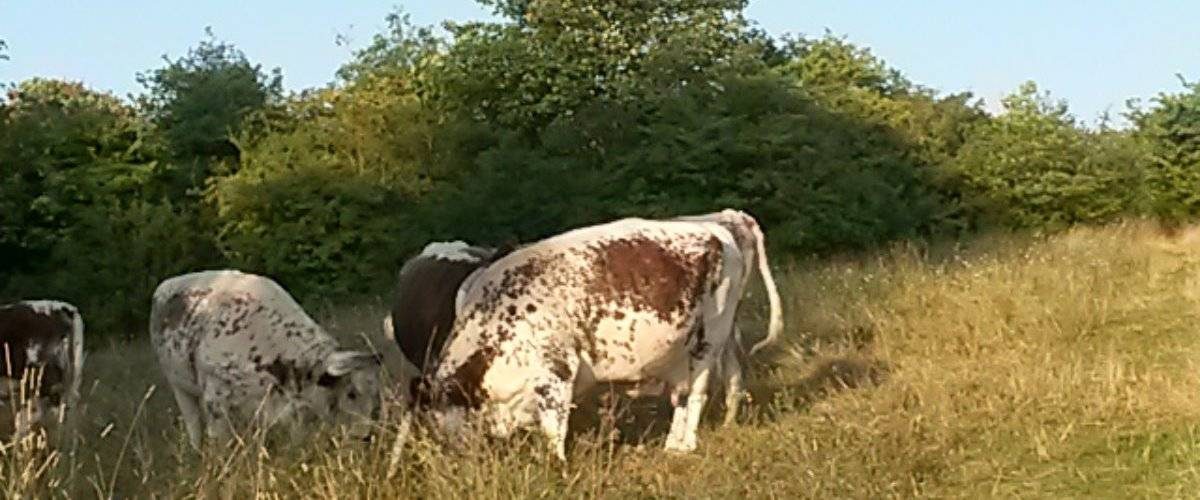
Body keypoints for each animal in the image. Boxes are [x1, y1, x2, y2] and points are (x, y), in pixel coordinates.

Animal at [150, 268, 381, 448]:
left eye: (376, 395)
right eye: (351, 393)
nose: (367, 436)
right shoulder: (214, 399)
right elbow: (221, 441)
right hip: (179, 386)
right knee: (194, 425)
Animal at [417, 212, 782, 458]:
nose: (449, 456)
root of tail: (719, 223)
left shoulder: (555, 373)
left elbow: (553, 429)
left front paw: (556, 466)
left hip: (709, 339)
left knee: (696, 393)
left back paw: (685, 445)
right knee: (700, 388)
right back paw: (677, 442)